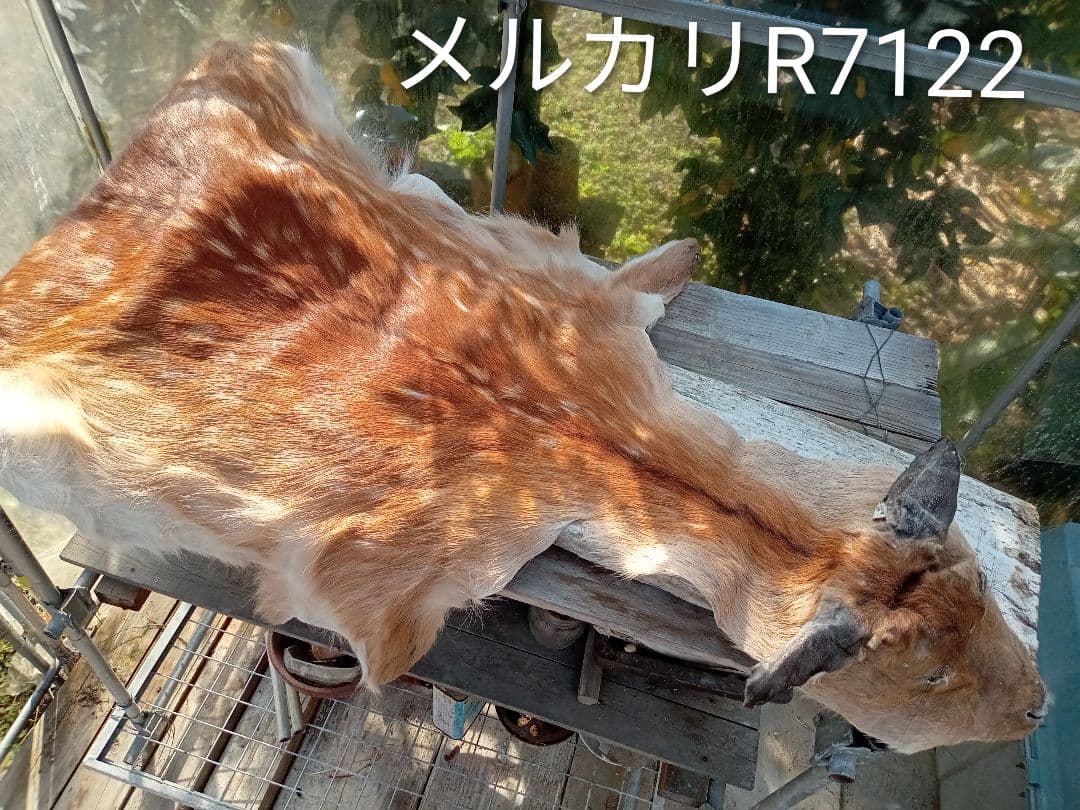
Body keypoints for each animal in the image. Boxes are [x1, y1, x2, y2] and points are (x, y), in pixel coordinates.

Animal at [0, 42, 1045, 753]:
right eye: (928, 675)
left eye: (984, 589)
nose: (1038, 703)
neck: (583, 431)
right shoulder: (376, 598)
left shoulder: (569, 279)